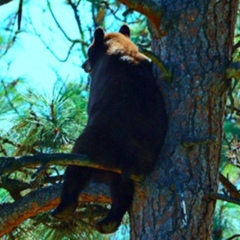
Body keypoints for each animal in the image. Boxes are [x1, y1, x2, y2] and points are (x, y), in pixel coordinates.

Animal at [51, 25, 167, 233]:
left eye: (89, 51)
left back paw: (64, 208)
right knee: (122, 190)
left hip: (97, 143)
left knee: (78, 165)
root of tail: (130, 160)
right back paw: (108, 222)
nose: (84, 65)